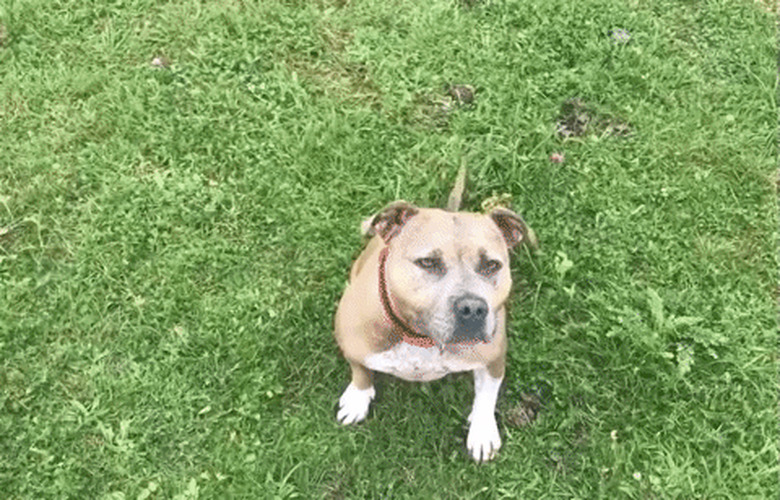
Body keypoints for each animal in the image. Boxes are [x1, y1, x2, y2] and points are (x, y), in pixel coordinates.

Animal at [332, 170, 532, 462]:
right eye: (428, 263)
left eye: (491, 265)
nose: (473, 308)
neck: (420, 337)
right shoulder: (352, 341)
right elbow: (359, 369)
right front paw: (358, 397)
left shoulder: (494, 358)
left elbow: (487, 395)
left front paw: (482, 429)